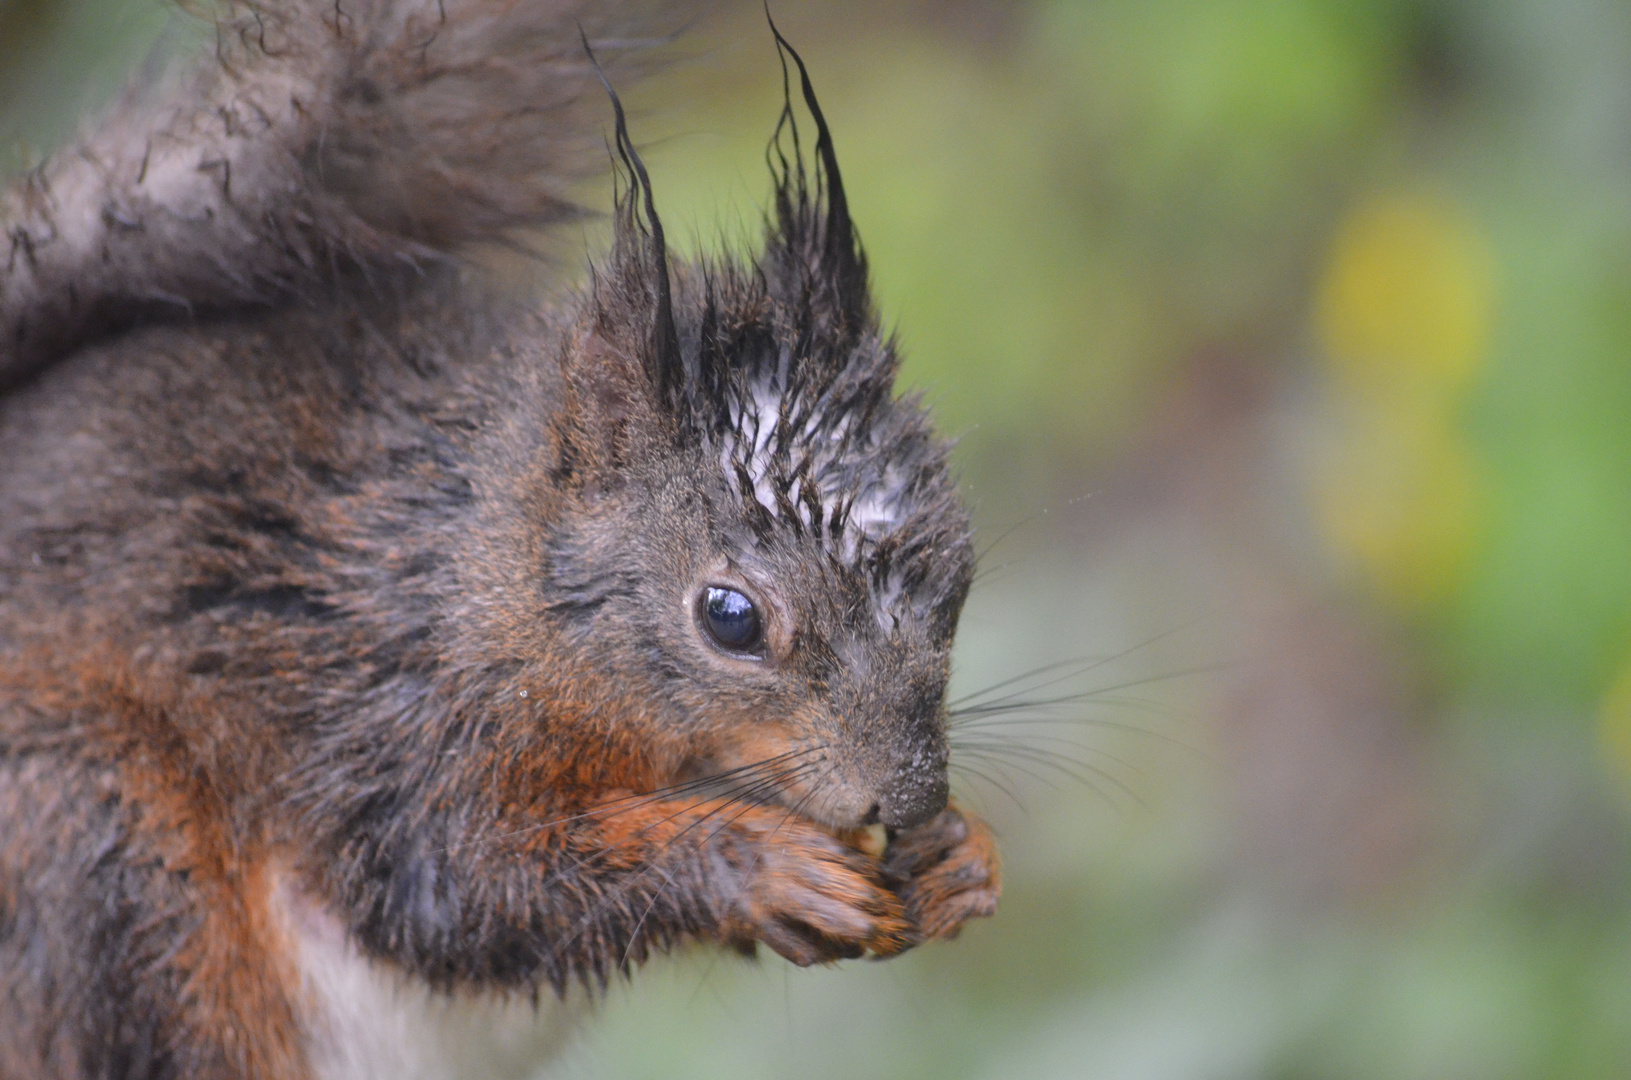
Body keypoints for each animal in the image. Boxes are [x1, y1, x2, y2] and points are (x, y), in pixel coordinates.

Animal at [0, 2, 998, 1080]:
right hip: (97, 839)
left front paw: (962, 859)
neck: (488, 571)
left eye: (960, 574)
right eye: (729, 618)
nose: (906, 800)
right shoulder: (381, 711)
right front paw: (754, 861)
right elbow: (463, 886)